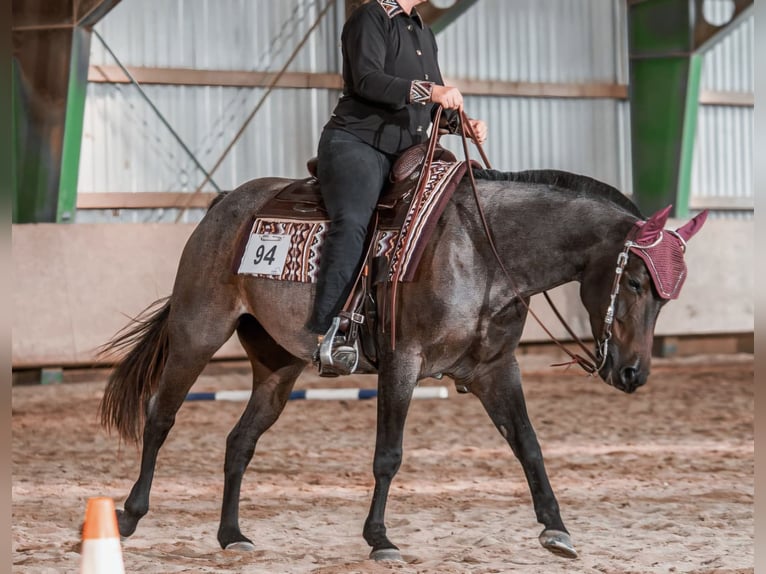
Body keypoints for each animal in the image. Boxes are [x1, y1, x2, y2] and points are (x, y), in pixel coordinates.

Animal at [100, 167, 707, 562]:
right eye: (634, 281)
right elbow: (388, 456)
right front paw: (380, 539)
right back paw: (129, 514)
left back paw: (232, 536)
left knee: (239, 441)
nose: (632, 373)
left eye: (666, 296)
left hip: (277, 366)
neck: (484, 250)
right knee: (160, 417)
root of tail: (224, 204)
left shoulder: (495, 370)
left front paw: (556, 531)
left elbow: (528, 446)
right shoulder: (402, 363)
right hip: (196, 335)